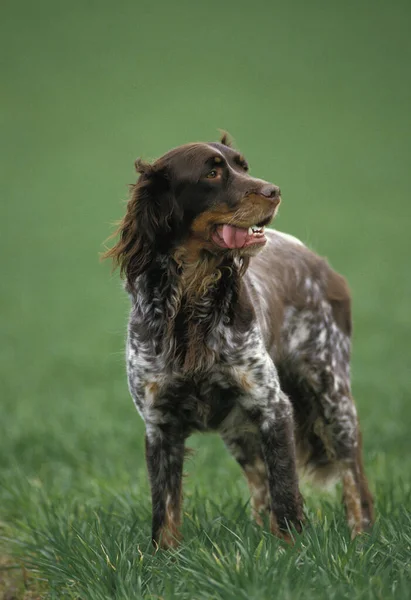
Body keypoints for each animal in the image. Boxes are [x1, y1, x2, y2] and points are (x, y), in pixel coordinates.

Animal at [104, 135, 374, 548]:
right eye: (212, 173)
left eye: (243, 167)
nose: (274, 191)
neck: (190, 303)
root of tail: (318, 261)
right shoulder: (159, 423)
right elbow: (164, 510)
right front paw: (163, 558)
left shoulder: (273, 407)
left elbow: (286, 493)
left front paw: (292, 552)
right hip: (239, 430)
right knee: (260, 486)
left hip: (333, 398)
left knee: (354, 480)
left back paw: (362, 541)